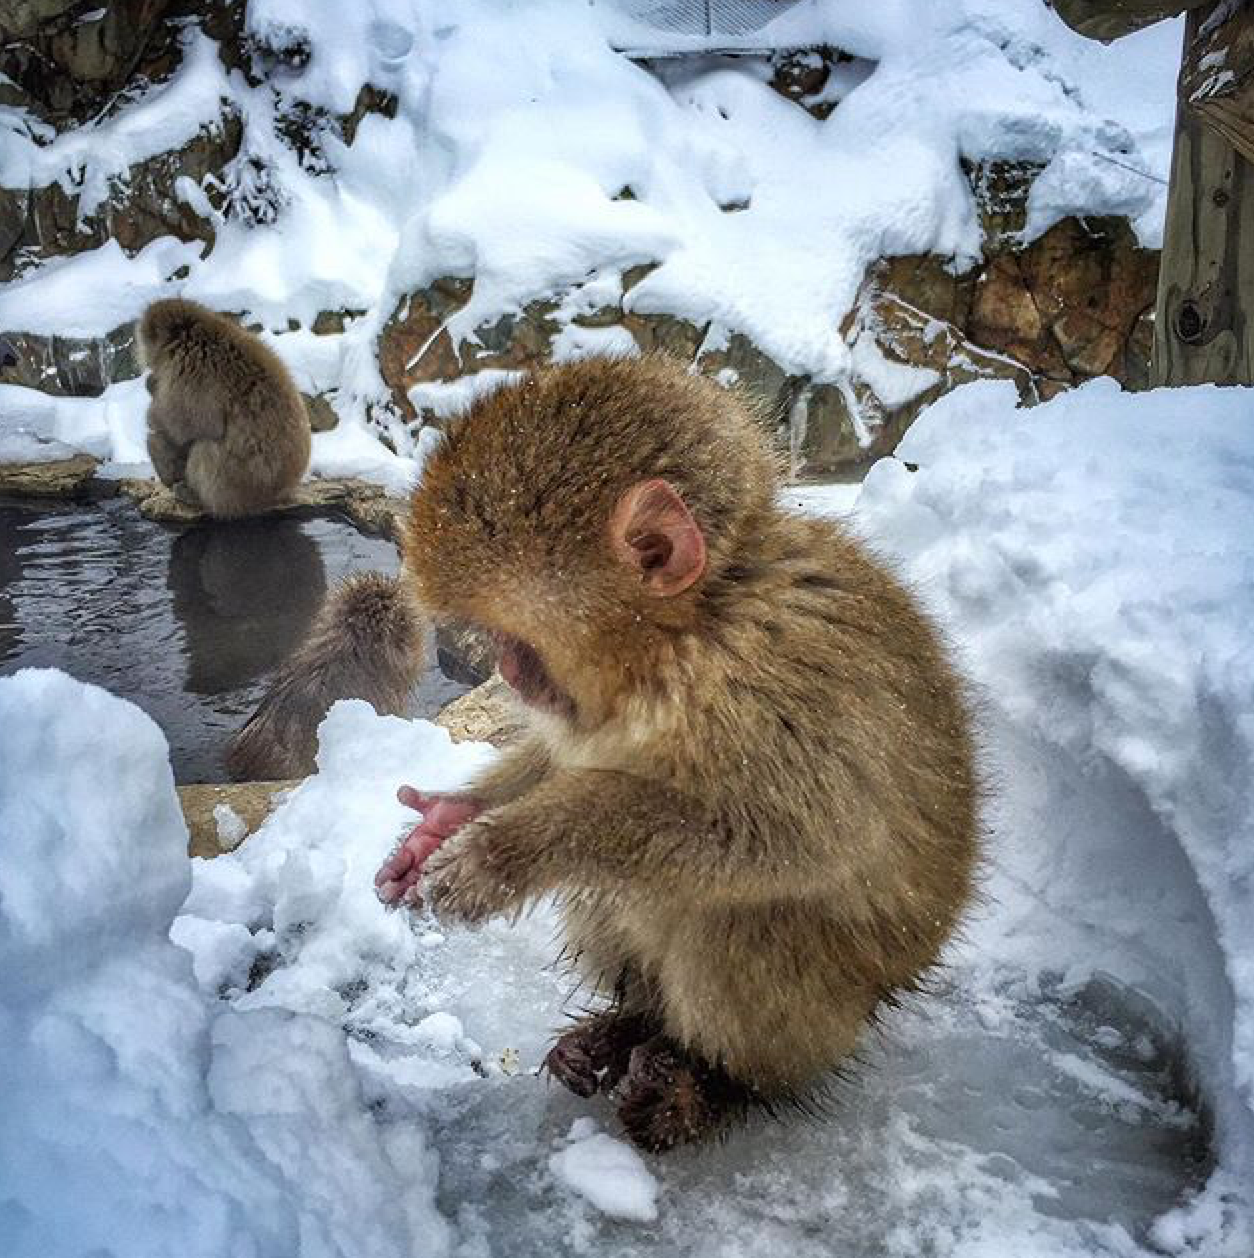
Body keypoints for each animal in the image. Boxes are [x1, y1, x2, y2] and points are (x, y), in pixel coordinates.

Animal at [135, 296, 313, 518]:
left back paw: (192, 495)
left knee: (203, 447)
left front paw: (152, 396)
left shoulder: (189, 373)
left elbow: (183, 428)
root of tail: (280, 493)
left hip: (237, 486)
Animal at [374, 354, 981, 1152]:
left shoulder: (781, 684)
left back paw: (714, 1083)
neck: (695, 628)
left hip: (833, 997)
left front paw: (512, 848)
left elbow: (792, 842)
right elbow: (562, 757)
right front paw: (447, 819)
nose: (506, 670)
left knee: (731, 918)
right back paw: (627, 1027)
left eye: (517, 640)